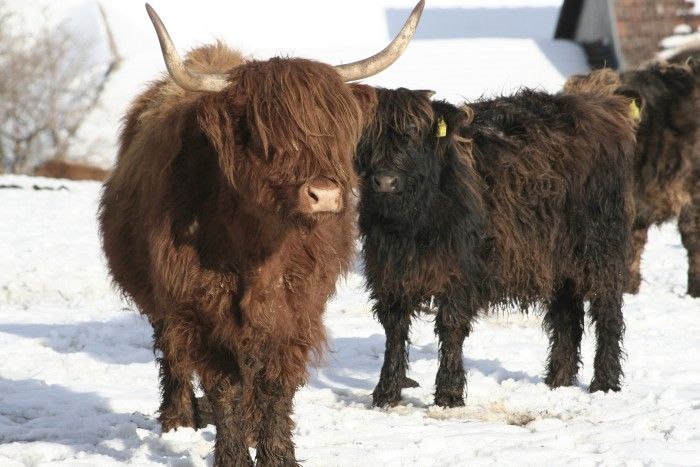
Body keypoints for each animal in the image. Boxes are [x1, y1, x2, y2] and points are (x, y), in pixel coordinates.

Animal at [99, 3, 423, 465]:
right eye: (266, 135)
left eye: (333, 132)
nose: (324, 195)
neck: (258, 249)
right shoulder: (199, 309)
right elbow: (224, 386)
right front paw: (232, 454)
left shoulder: (299, 307)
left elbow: (275, 382)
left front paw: (277, 453)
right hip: (162, 302)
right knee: (172, 352)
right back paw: (178, 419)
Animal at [354, 84, 637, 409]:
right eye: (370, 137)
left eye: (412, 133)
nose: (385, 181)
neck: (412, 224)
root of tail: (600, 108)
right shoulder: (387, 271)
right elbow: (394, 327)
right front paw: (386, 393)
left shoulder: (461, 271)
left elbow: (451, 325)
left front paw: (449, 394)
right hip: (556, 259)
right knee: (566, 316)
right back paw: (558, 380)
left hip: (600, 248)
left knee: (607, 311)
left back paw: (604, 383)